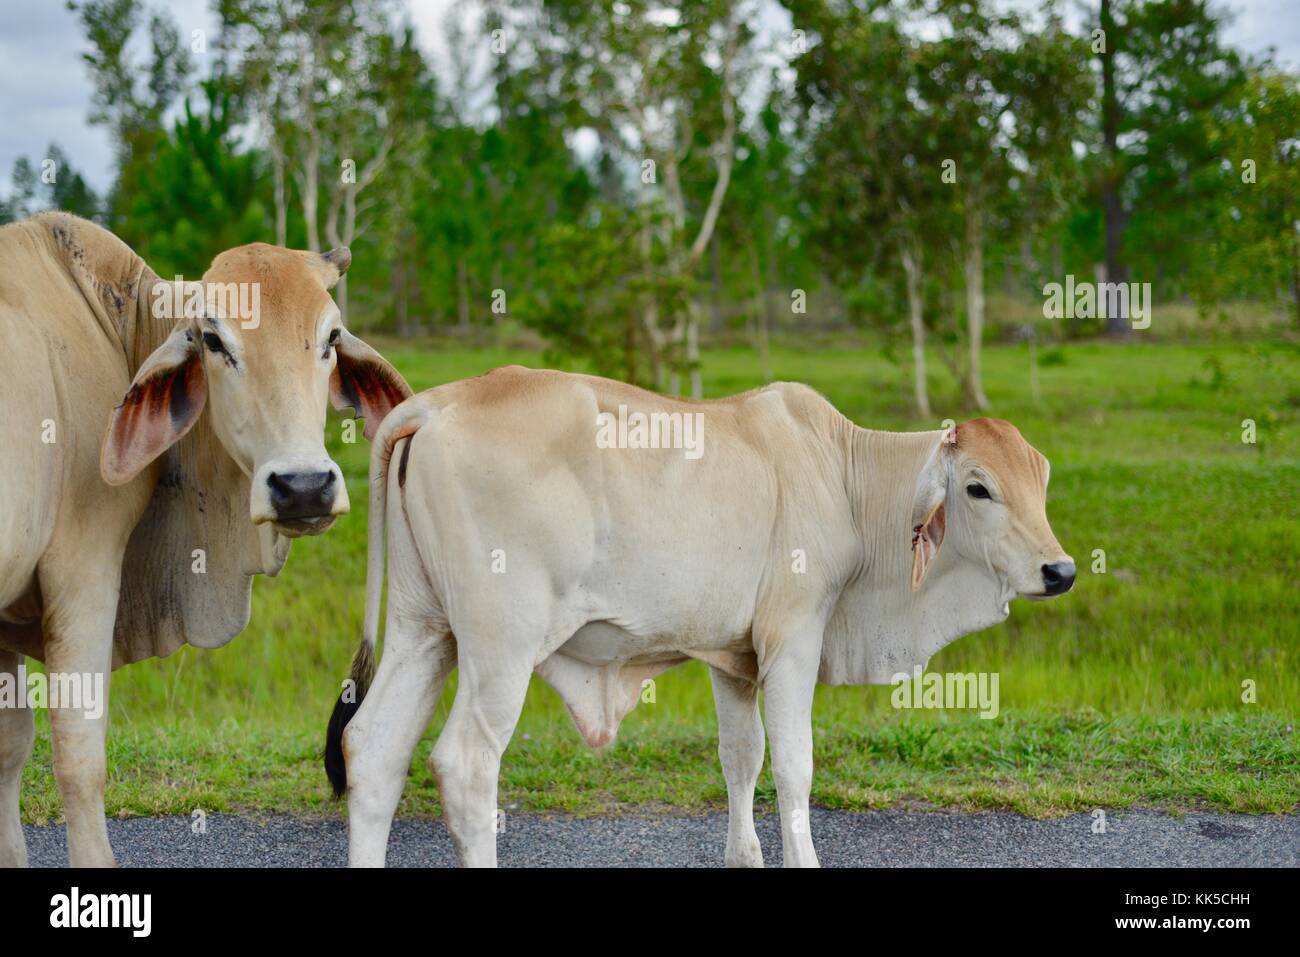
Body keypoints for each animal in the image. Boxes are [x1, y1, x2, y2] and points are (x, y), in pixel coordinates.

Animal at [0, 214, 405, 868]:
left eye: (331, 336)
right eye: (213, 341)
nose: (303, 487)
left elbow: (10, 746)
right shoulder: (82, 567)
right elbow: (79, 759)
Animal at [327, 366, 1076, 868]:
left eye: (1041, 479)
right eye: (978, 487)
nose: (1060, 570)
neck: (844, 476)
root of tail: (436, 404)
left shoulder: (733, 658)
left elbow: (741, 760)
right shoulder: (792, 640)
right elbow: (794, 768)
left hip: (425, 633)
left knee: (374, 749)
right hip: (499, 649)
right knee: (466, 766)